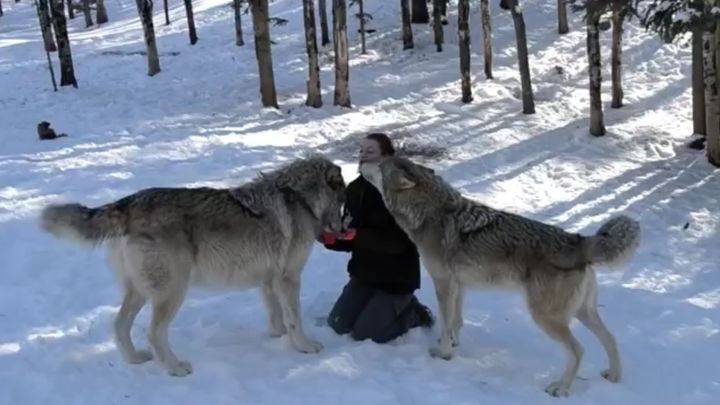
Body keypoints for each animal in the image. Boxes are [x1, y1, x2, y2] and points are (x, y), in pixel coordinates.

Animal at [40, 155, 348, 376]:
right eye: (344, 202)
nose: (346, 228)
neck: (300, 199)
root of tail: (127, 203)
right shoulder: (289, 278)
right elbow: (295, 318)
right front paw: (304, 347)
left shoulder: (268, 280)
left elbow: (277, 315)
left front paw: (278, 336)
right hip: (173, 292)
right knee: (153, 333)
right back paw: (175, 368)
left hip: (140, 291)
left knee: (119, 325)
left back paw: (135, 359)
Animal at [360, 156, 640, 396]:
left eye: (380, 163)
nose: (361, 160)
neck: (429, 212)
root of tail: (580, 241)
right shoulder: (459, 285)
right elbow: (455, 323)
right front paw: (452, 345)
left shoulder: (444, 283)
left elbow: (446, 322)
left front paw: (443, 354)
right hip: (583, 313)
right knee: (611, 339)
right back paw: (613, 376)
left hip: (545, 317)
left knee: (578, 349)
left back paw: (560, 389)